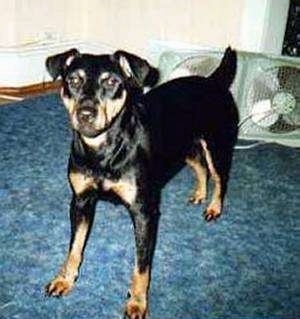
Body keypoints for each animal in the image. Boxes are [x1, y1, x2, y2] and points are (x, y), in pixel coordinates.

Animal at [44, 46, 238, 318]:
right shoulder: (81, 202)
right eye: (73, 80)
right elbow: (74, 248)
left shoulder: (144, 212)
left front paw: (137, 302)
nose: (85, 114)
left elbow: (142, 266)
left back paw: (214, 208)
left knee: (220, 178)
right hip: (183, 148)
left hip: (217, 146)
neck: (104, 151)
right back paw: (200, 193)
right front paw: (64, 279)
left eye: (111, 82)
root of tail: (213, 80)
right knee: (201, 168)